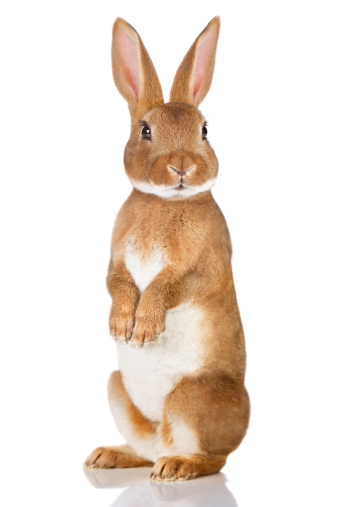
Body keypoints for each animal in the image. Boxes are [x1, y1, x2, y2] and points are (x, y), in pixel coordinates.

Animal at [84, 15, 248, 482]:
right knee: (146, 447)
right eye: (145, 130)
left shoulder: (204, 265)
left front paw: (143, 330)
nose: (181, 166)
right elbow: (117, 282)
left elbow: (169, 286)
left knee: (213, 458)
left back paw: (176, 466)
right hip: (117, 388)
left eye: (205, 131)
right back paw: (108, 456)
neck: (165, 202)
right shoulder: (116, 258)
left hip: (191, 397)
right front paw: (122, 326)